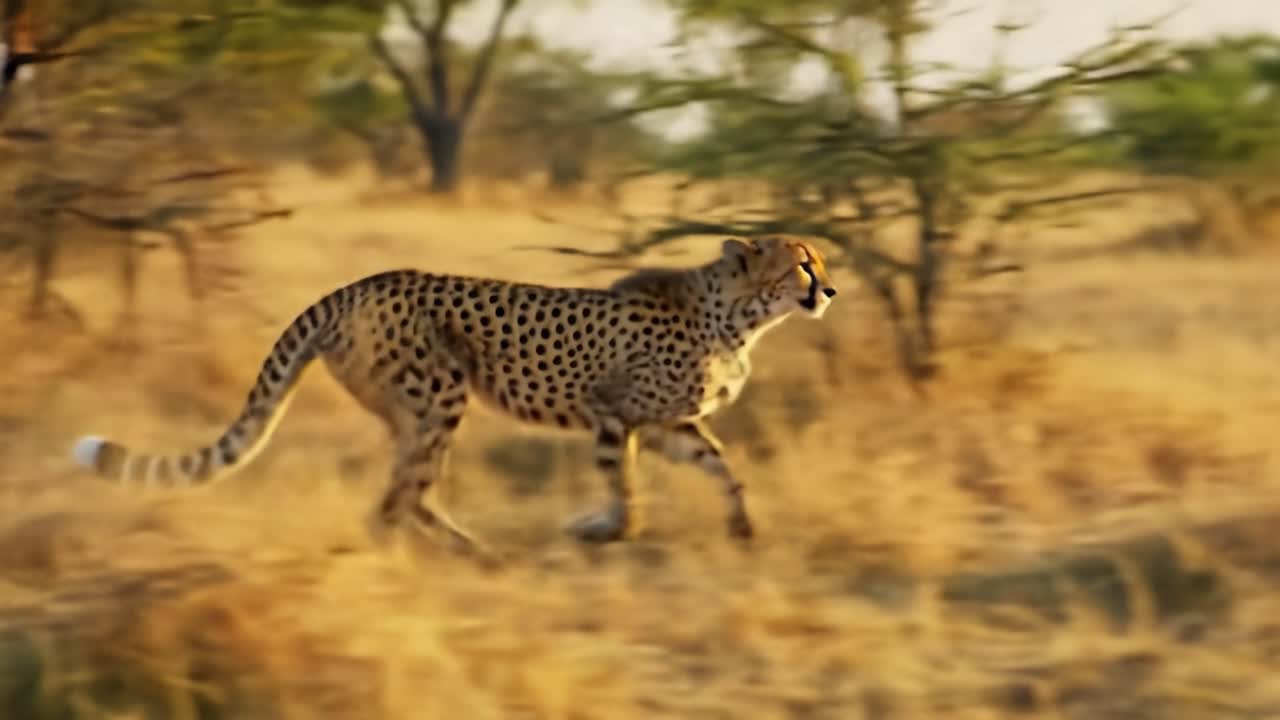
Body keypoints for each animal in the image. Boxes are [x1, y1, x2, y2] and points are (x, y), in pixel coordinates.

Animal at [71, 234, 839, 559]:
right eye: (802, 263)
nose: (830, 290)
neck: (738, 315)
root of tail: (363, 282)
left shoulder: (665, 424)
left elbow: (722, 468)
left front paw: (742, 527)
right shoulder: (612, 411)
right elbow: (626, 487)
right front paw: (603, 531)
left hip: (414, 412)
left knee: (404, 490)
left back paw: (461, 549)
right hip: (441, 396)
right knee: (399, 497)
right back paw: (427, 559)